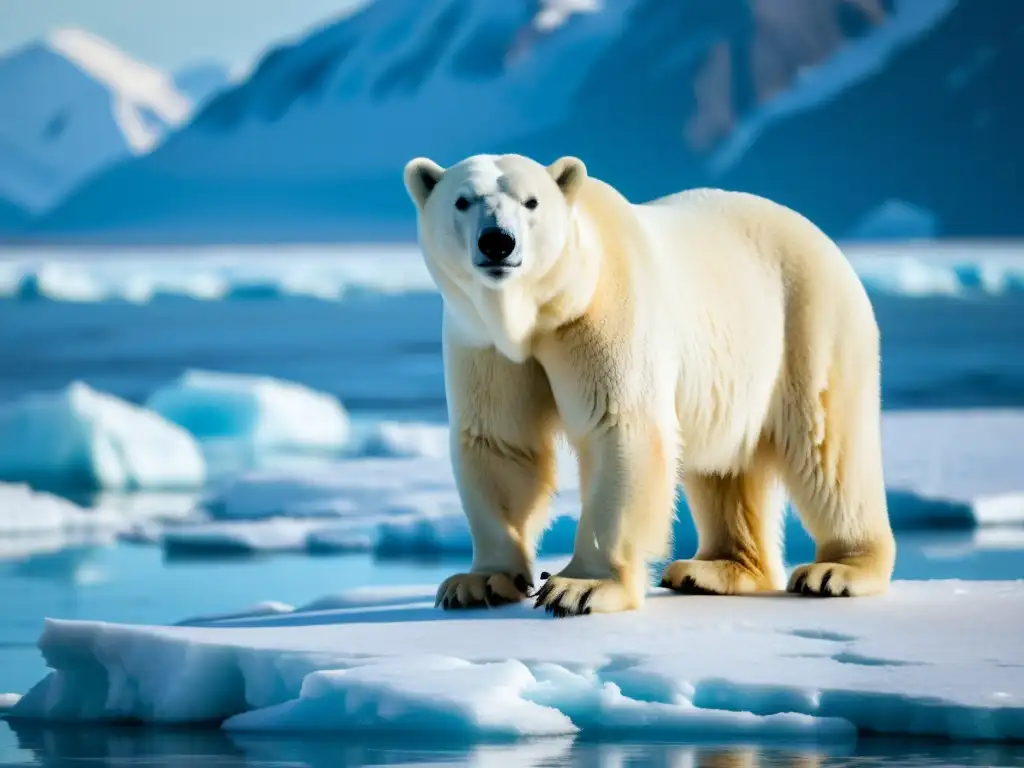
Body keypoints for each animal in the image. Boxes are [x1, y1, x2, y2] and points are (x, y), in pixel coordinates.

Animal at [401, 153, 897, 618]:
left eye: (531, 201)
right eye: (463, 201)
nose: (498, 241)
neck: (545, 309)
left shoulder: (603, 313)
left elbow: (619, 428)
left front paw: (578, 587)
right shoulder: (482, 341)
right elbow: (500, 441)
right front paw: (478, 582)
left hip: (808, 322)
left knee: (828, 449)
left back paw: (836, 570)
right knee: (727, 467)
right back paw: (710, 569)